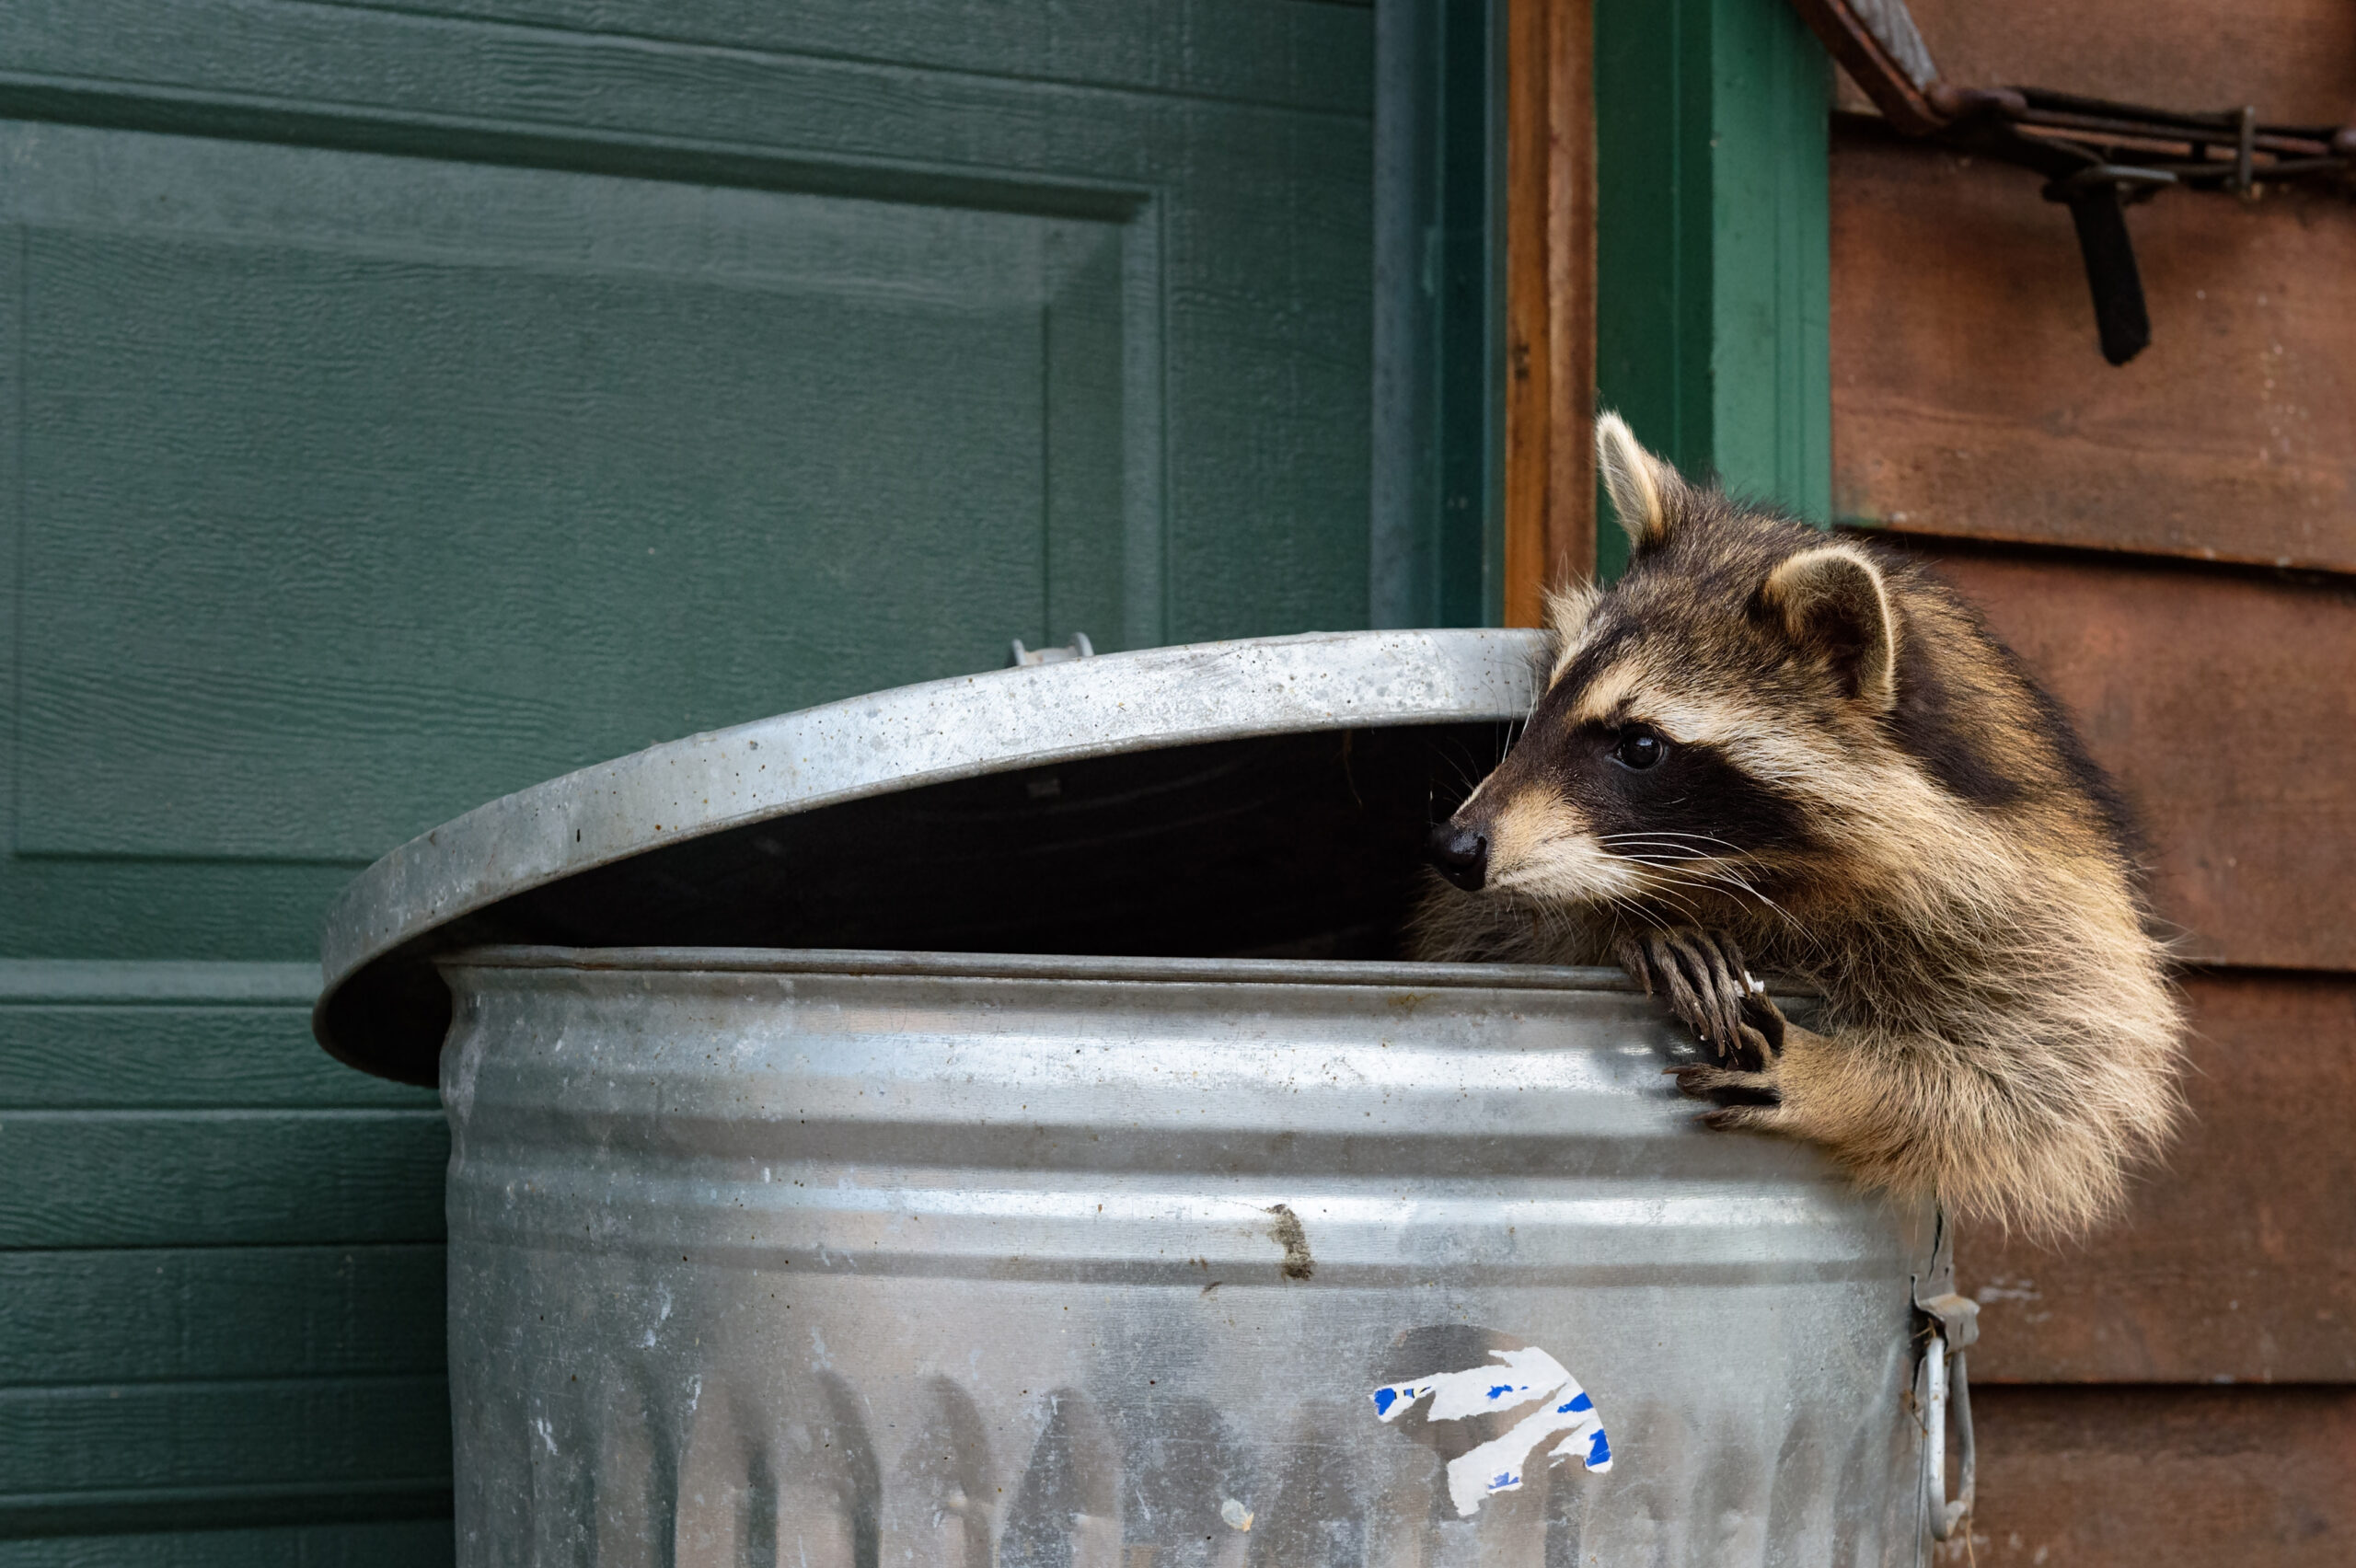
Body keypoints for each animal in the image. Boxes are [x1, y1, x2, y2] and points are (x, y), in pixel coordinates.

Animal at [1414, 414, 2183, 1238]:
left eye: (1640, 746)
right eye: (1547, 701)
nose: (1455, 848)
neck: (1754, 868)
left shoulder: (2044, 901)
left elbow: (2043, 1078)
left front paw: (1846, 1080)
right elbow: (1484, 931)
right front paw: (1636, 923)